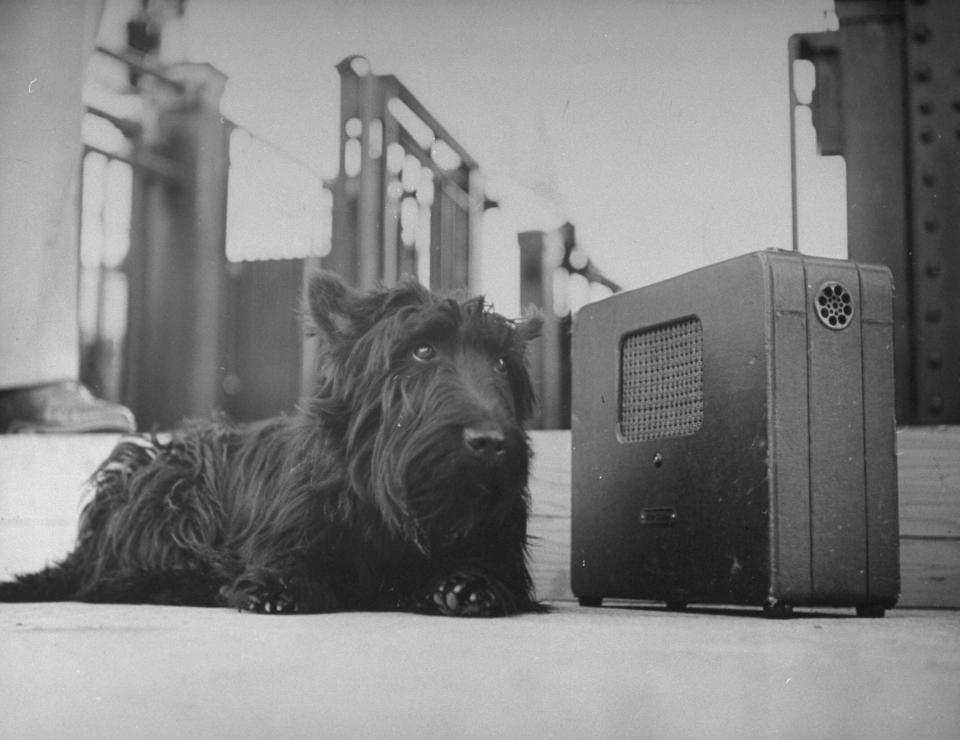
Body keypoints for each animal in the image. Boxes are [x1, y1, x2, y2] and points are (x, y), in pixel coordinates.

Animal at [0, 274, 540, 616]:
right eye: (423, 350)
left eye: (500, 364)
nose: (491, 443)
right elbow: (290, 560)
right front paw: (277, 586)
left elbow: (491, 570)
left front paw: (470, 586)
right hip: (174, 484)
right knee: (109, 582)